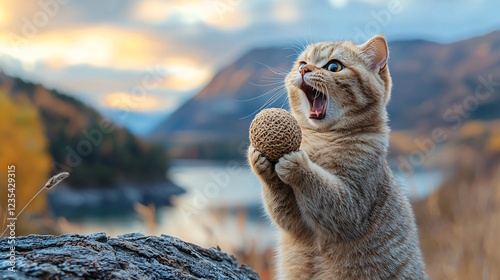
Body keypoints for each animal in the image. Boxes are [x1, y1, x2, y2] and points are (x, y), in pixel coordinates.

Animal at [248, 35, 428, 280]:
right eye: (302, 63)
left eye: (334, 67)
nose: (304, 70)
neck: (321, 138)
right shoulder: (298, 227)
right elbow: (279, 203)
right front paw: (259, 162)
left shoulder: (351, 207)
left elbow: (321, 186)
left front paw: (299, 166)